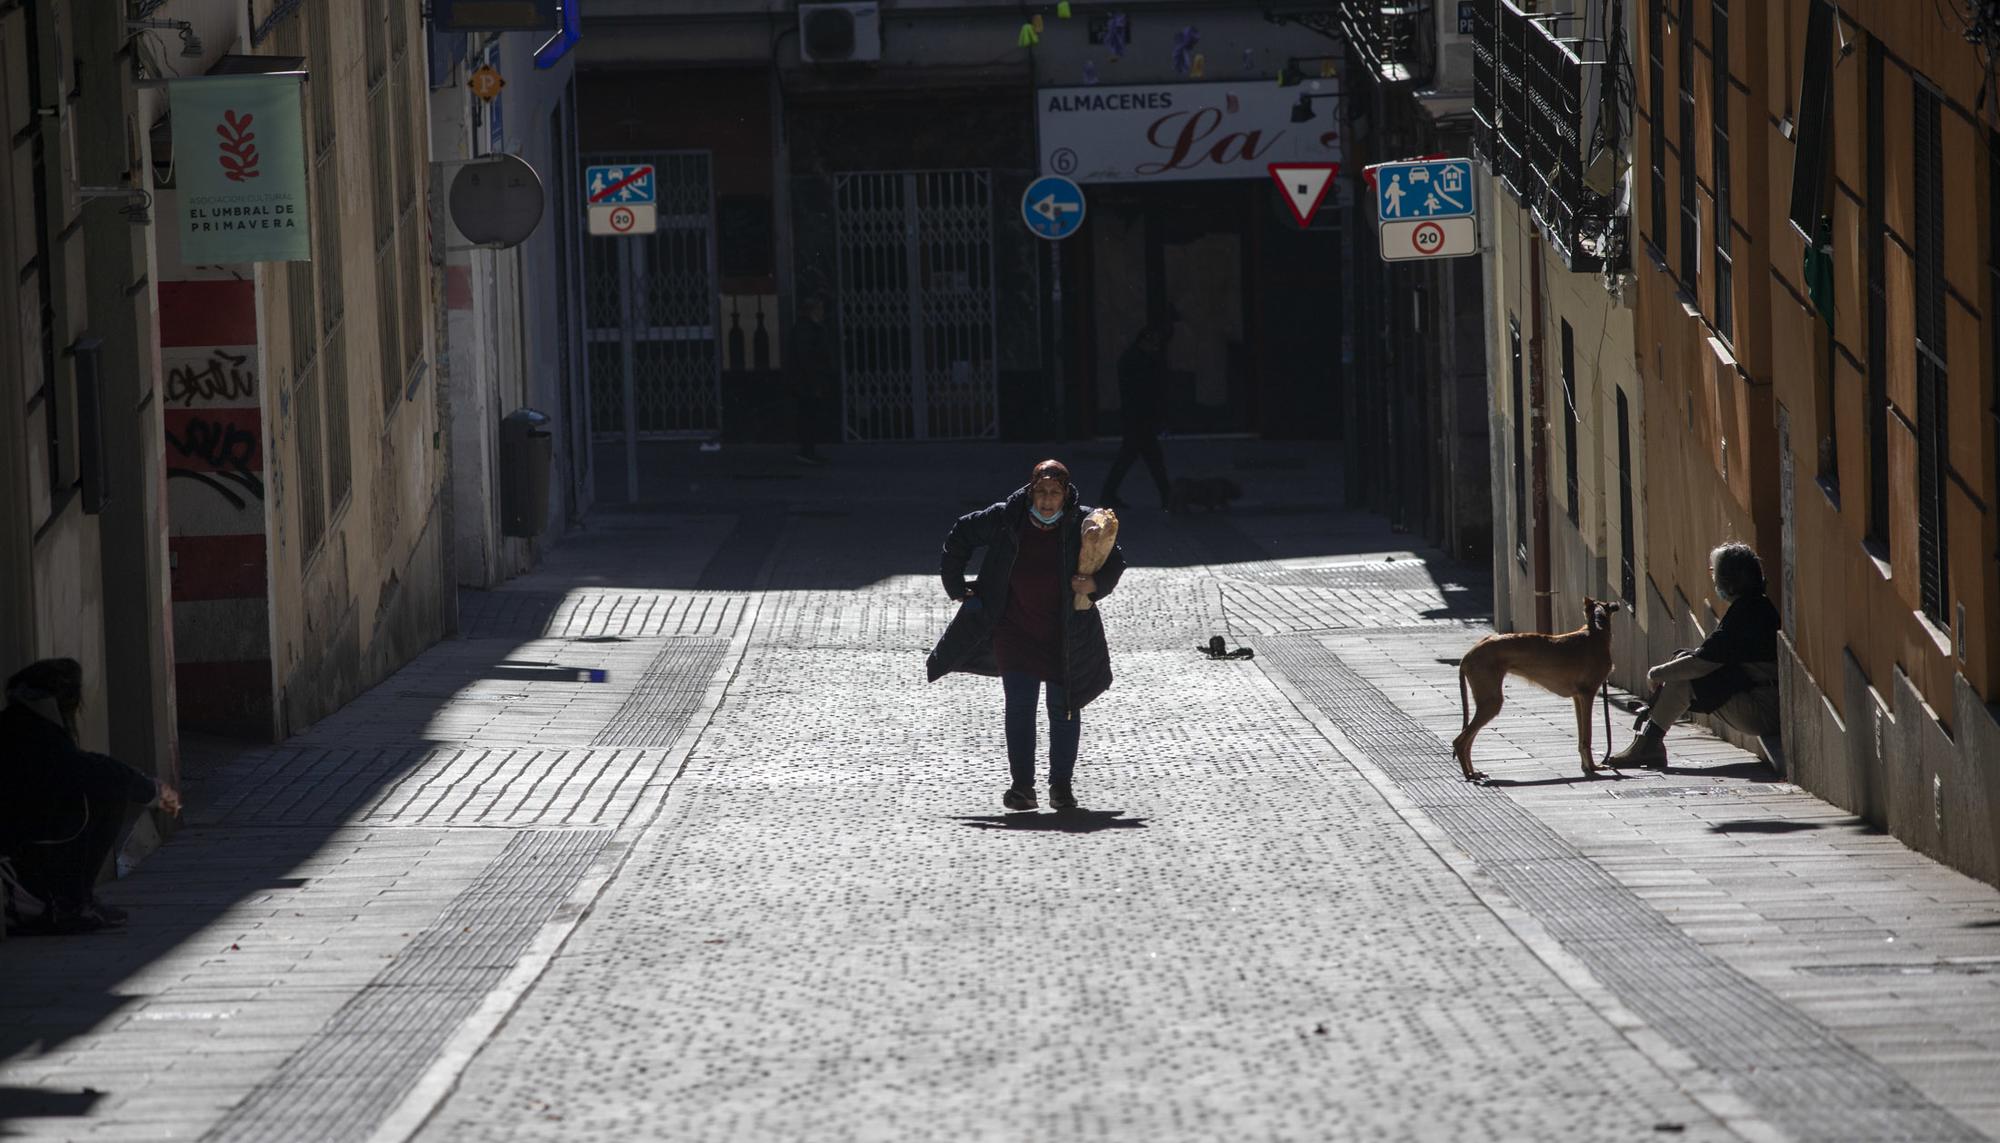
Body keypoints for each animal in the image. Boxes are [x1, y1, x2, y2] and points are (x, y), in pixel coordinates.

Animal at [1456, 599, 1624, 775]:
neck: (1596, 630)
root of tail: (1467, 655)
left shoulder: (1578, 698)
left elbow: (1581, 737)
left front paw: (1585, 766)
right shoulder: (1587, 694)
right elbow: (1587, 737)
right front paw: (1592, 767)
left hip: (1487, 702)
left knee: (1467, 739)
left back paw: (1472, 772)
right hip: (1492, 702)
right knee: (1460, 741)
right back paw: (1468, 774)